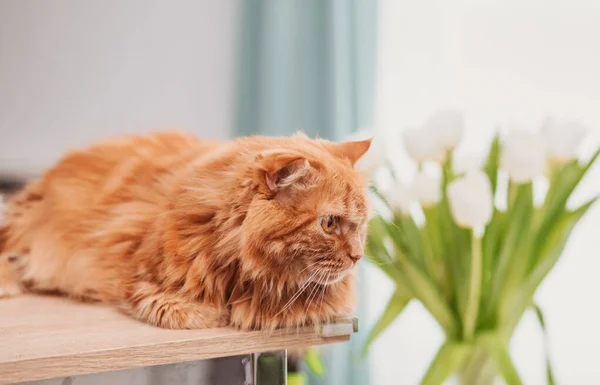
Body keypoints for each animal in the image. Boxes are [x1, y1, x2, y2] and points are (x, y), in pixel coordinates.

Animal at [0, 132, 370, 330]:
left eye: (361, 225)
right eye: (329, 223)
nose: (357, 256)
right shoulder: (133, 275)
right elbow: (174, 306)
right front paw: (213, 314)